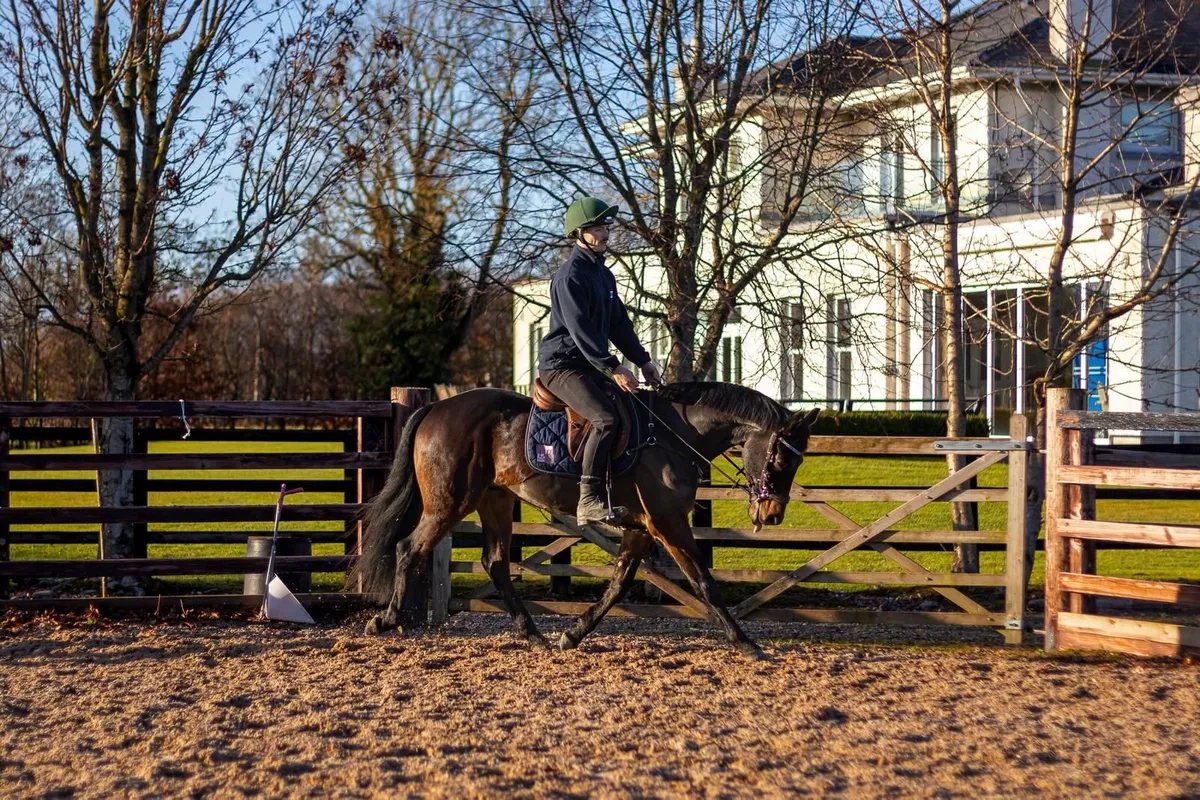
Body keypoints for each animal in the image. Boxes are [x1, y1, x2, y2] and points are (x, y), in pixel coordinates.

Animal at [355, 381, 820, 659]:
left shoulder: (641, 528)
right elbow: (704, 582)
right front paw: (746, 643)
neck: (674, 435)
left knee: (496, 563)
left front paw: (574, 633)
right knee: (408, 549)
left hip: (495, 501)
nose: (772, 514)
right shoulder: (668, 523)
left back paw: (533, 634)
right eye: (781, 458)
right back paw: (388, 619)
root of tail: (436, 407)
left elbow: (618, 585)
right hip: (449, 503)